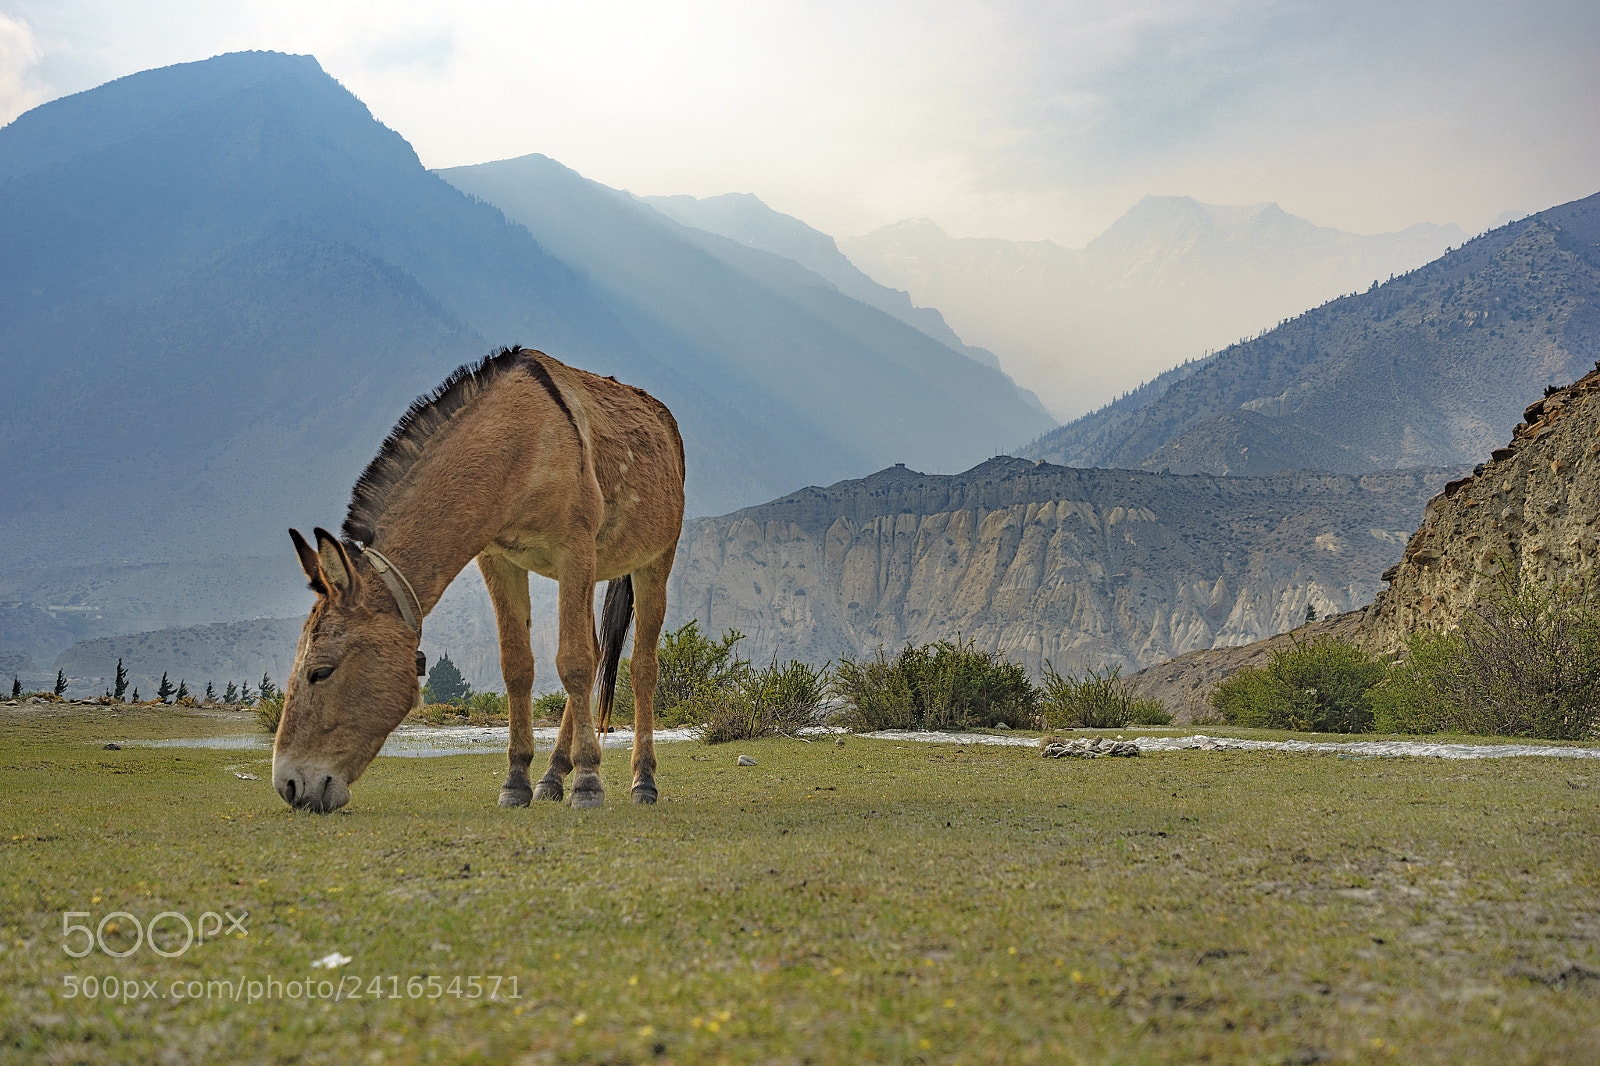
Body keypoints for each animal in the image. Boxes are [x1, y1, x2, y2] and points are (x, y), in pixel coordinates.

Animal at [272, 346, 685, 813]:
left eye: (321, 672)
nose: (289, 785)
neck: (520, 445)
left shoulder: (574, 551)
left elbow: (573, 663)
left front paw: (588, 784)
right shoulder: (499, 560)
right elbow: (517, 667)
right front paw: (517, 782)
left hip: (654, 562)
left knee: (641, 667)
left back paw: (643, 781)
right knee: (599, 653)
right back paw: (552, 777)